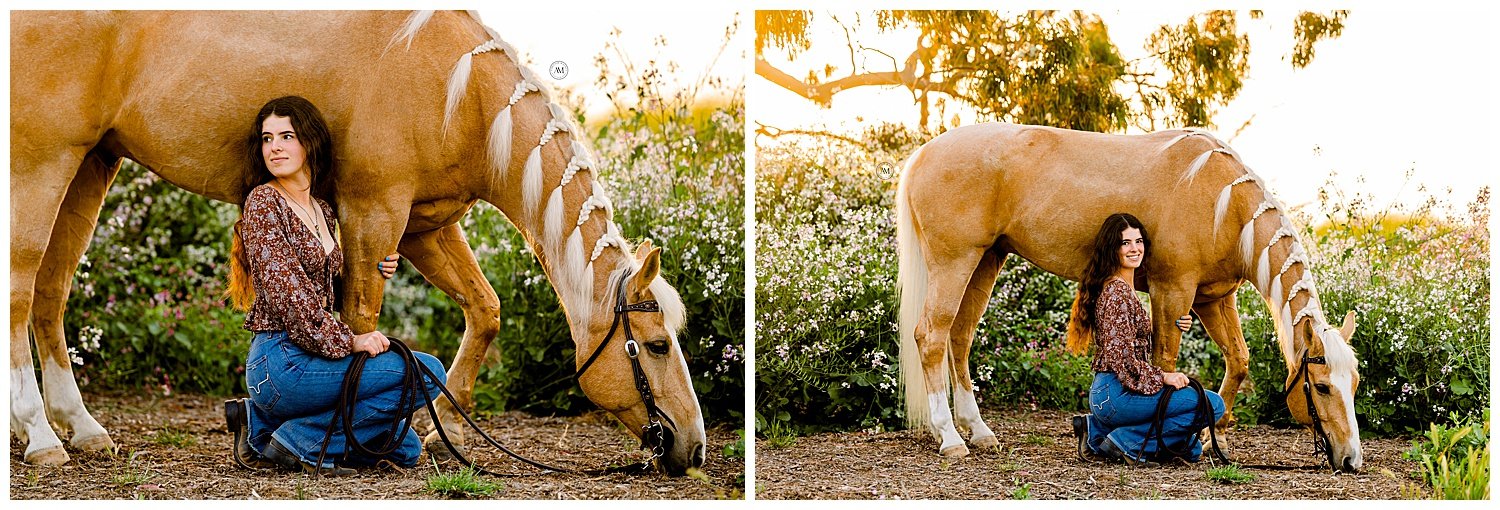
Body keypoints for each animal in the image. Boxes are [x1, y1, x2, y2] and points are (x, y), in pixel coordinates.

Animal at [8, 10, 708, 474]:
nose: (694, 446)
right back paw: (41, 438)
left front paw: (444, 429)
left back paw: (83, 429)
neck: (458, 92)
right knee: (20, 292)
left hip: (93, 163)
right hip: (41, 163)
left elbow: (484, 310)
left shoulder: (425, 224)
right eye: (654, 345)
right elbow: (361, 325)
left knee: (51, 293)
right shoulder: (375, 212)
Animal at [894, 122, 1368, 471]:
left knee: (958, 339)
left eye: (1355, 384)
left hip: (986, 261)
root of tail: (923, 153)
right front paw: (1173, 442)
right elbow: (1165, 363)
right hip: (955, 262)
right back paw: (950, 438)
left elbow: (1238, 361)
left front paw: (1214, 435)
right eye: (1321, 386)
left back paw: (978, 431)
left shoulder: (1213, 299)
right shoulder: (1172, 291)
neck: (1222, 204)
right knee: (931, 337)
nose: (1351, 460)